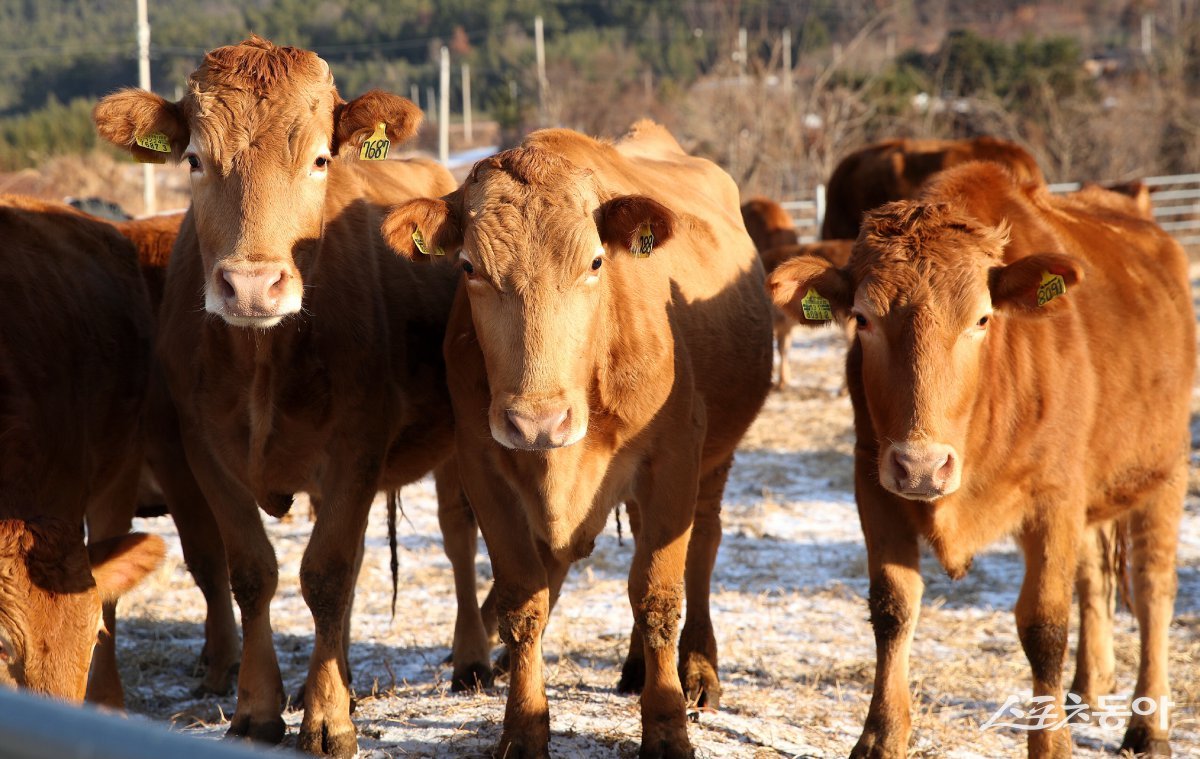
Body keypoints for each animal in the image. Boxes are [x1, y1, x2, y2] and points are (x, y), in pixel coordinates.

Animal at [92, 38, 482, 754]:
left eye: (321, 158)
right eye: (195, 160)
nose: (251, 285)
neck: (261, 362)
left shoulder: (357, 448)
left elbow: (325, 574)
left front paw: (328, 719)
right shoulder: (203, 451)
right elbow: (252, 572)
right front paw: (260, 708)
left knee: (457, 538)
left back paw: (470, 659)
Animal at [384, 123, 777, 758]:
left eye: (595, 261)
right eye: (469, 267)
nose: (536, 422)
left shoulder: (675, 458)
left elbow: (658, 595)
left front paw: (667, 728)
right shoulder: (482, 465)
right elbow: (523, 601)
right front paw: (523, 728)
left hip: (715, 459)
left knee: (703, 545)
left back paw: (697, 670)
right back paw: (636, 667)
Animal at [768, 163, 1190, 754]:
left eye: (983, 319)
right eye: (863, 319)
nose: (922, 466)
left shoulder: (1054, 498)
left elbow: (1044, 627)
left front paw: (1051, 743)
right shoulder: (873, 484)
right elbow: (893, 609)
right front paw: (881, 735)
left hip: (1164, 472)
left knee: (1154, 590)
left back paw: (1148, 725)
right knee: (1093, 578)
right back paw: (1087, 687)